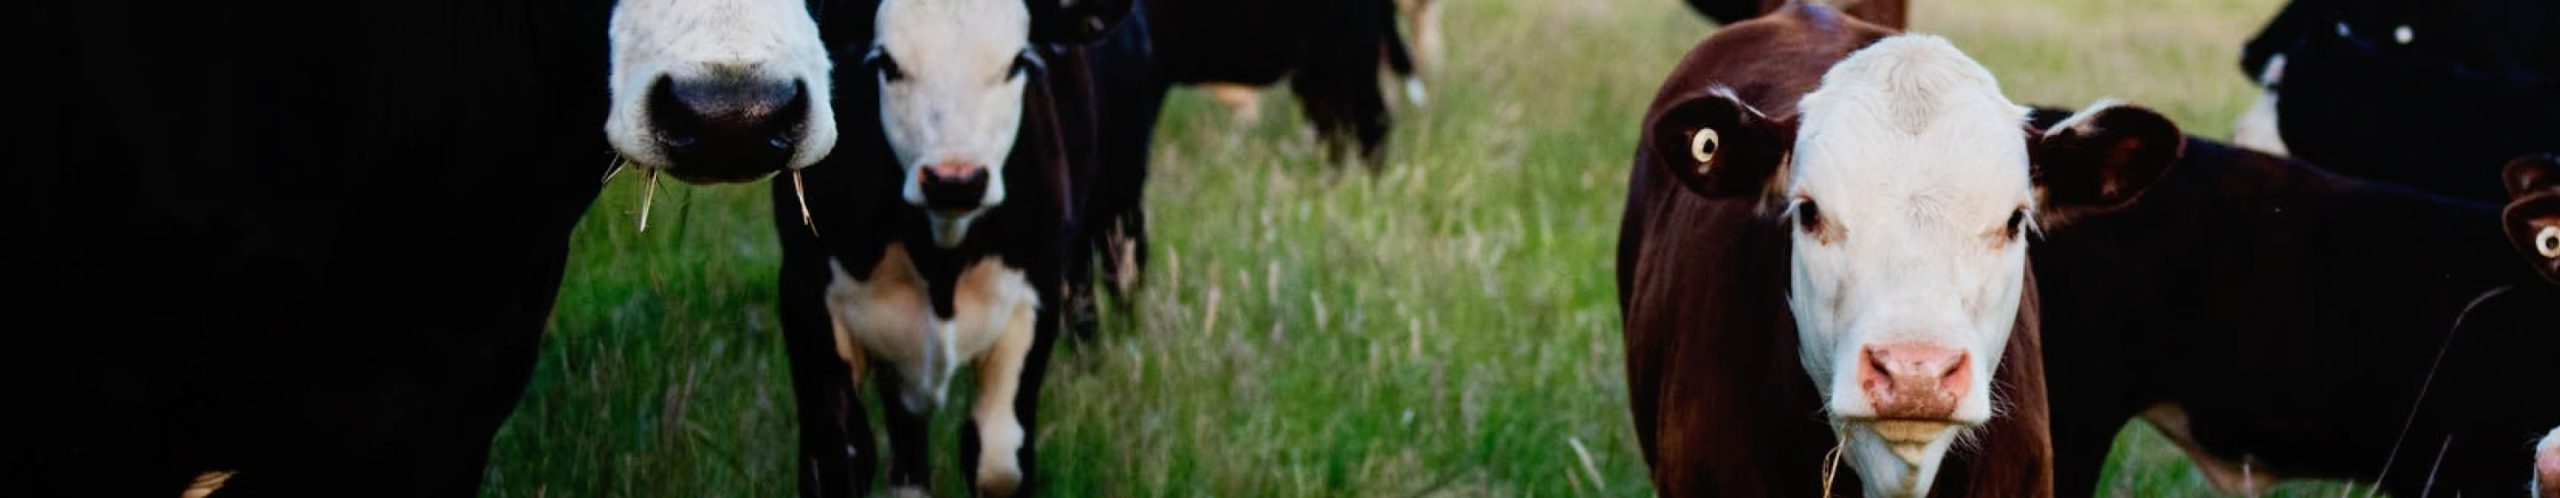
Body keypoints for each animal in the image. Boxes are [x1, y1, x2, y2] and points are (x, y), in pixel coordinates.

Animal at [766, 0, 1135, 496]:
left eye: (1017, 62)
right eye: (887, 64)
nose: (954, 180)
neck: (939, 258)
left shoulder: (1035, 296)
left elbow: (997, 460)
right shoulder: (806, 293)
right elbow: (836, 457)